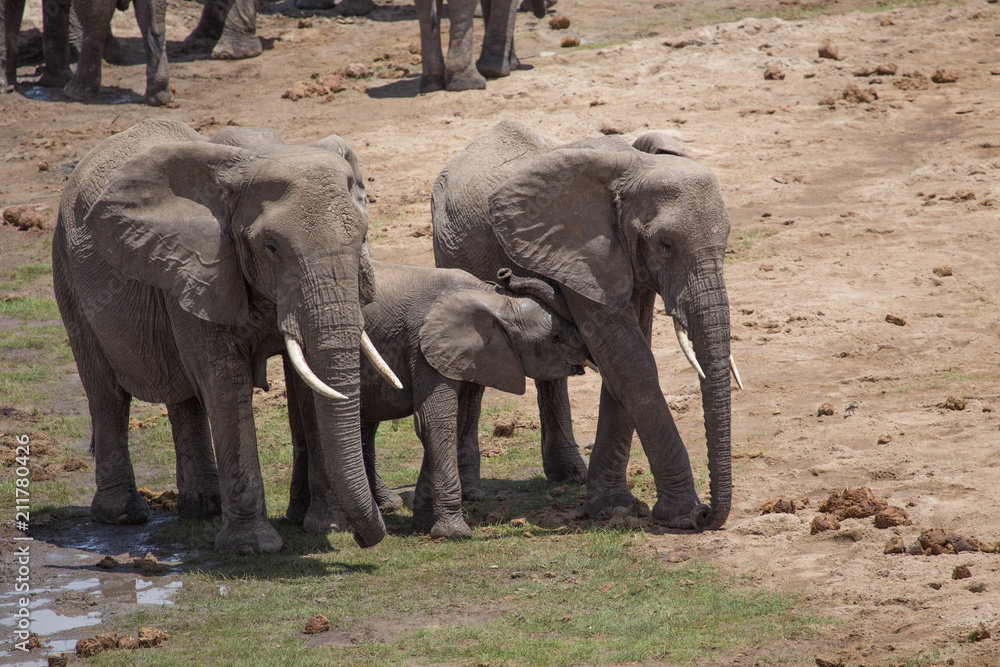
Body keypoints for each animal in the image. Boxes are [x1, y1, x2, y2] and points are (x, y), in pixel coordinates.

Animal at [51, 118, 396, 552]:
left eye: (363, 238)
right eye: (271, 247)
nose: (372, 538)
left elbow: (309, 387)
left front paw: (328, 528)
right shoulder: (200, 265)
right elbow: (225, 382)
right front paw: (252, 547)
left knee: (184, 395)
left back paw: (204, 508)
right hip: (67, 271)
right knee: (106, 392)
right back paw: (123, 516)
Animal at [285, 261, 590, 539]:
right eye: (556, 336)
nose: (505, 273)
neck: (492, 299)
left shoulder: (465, 356)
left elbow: (453, 421)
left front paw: (425, 524)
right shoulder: (422, 348)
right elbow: (435, 422)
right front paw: (455, 533)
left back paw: (381, 506)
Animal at [432, 120, 741, 531]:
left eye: (725, 240)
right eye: (665, 244)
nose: (707, 514)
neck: (637, 166)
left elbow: (627, 356)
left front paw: (611, 508)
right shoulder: (579, 253)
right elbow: (629, 357)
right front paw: (678, 515)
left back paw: (569, 476)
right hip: (452, 246)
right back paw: (472, 493)